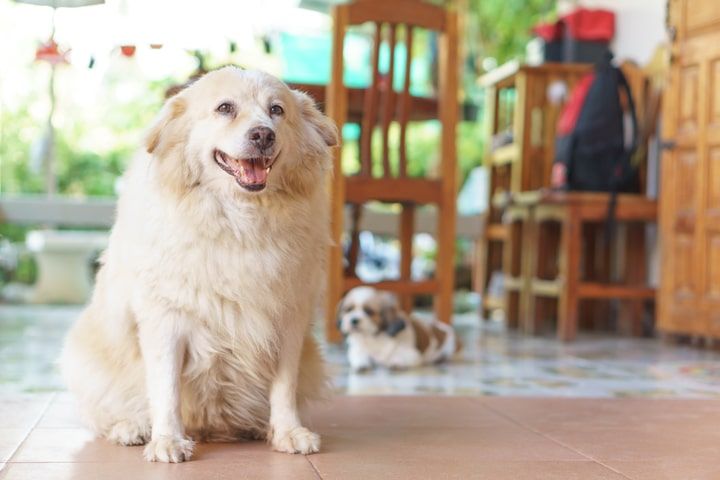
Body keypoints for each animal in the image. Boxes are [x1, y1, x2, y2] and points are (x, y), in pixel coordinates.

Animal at [58, 65, 338, 464]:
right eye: (225, 108)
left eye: (277, 110)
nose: (263, 135)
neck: (239, 222)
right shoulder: (165, 320)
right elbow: (166, 388)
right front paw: (168, 440)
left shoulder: (289, 322)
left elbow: (284, 386)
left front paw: (288, 432)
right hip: (84, 358)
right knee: (107, 413)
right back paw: (131, 428)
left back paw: (259, 426)